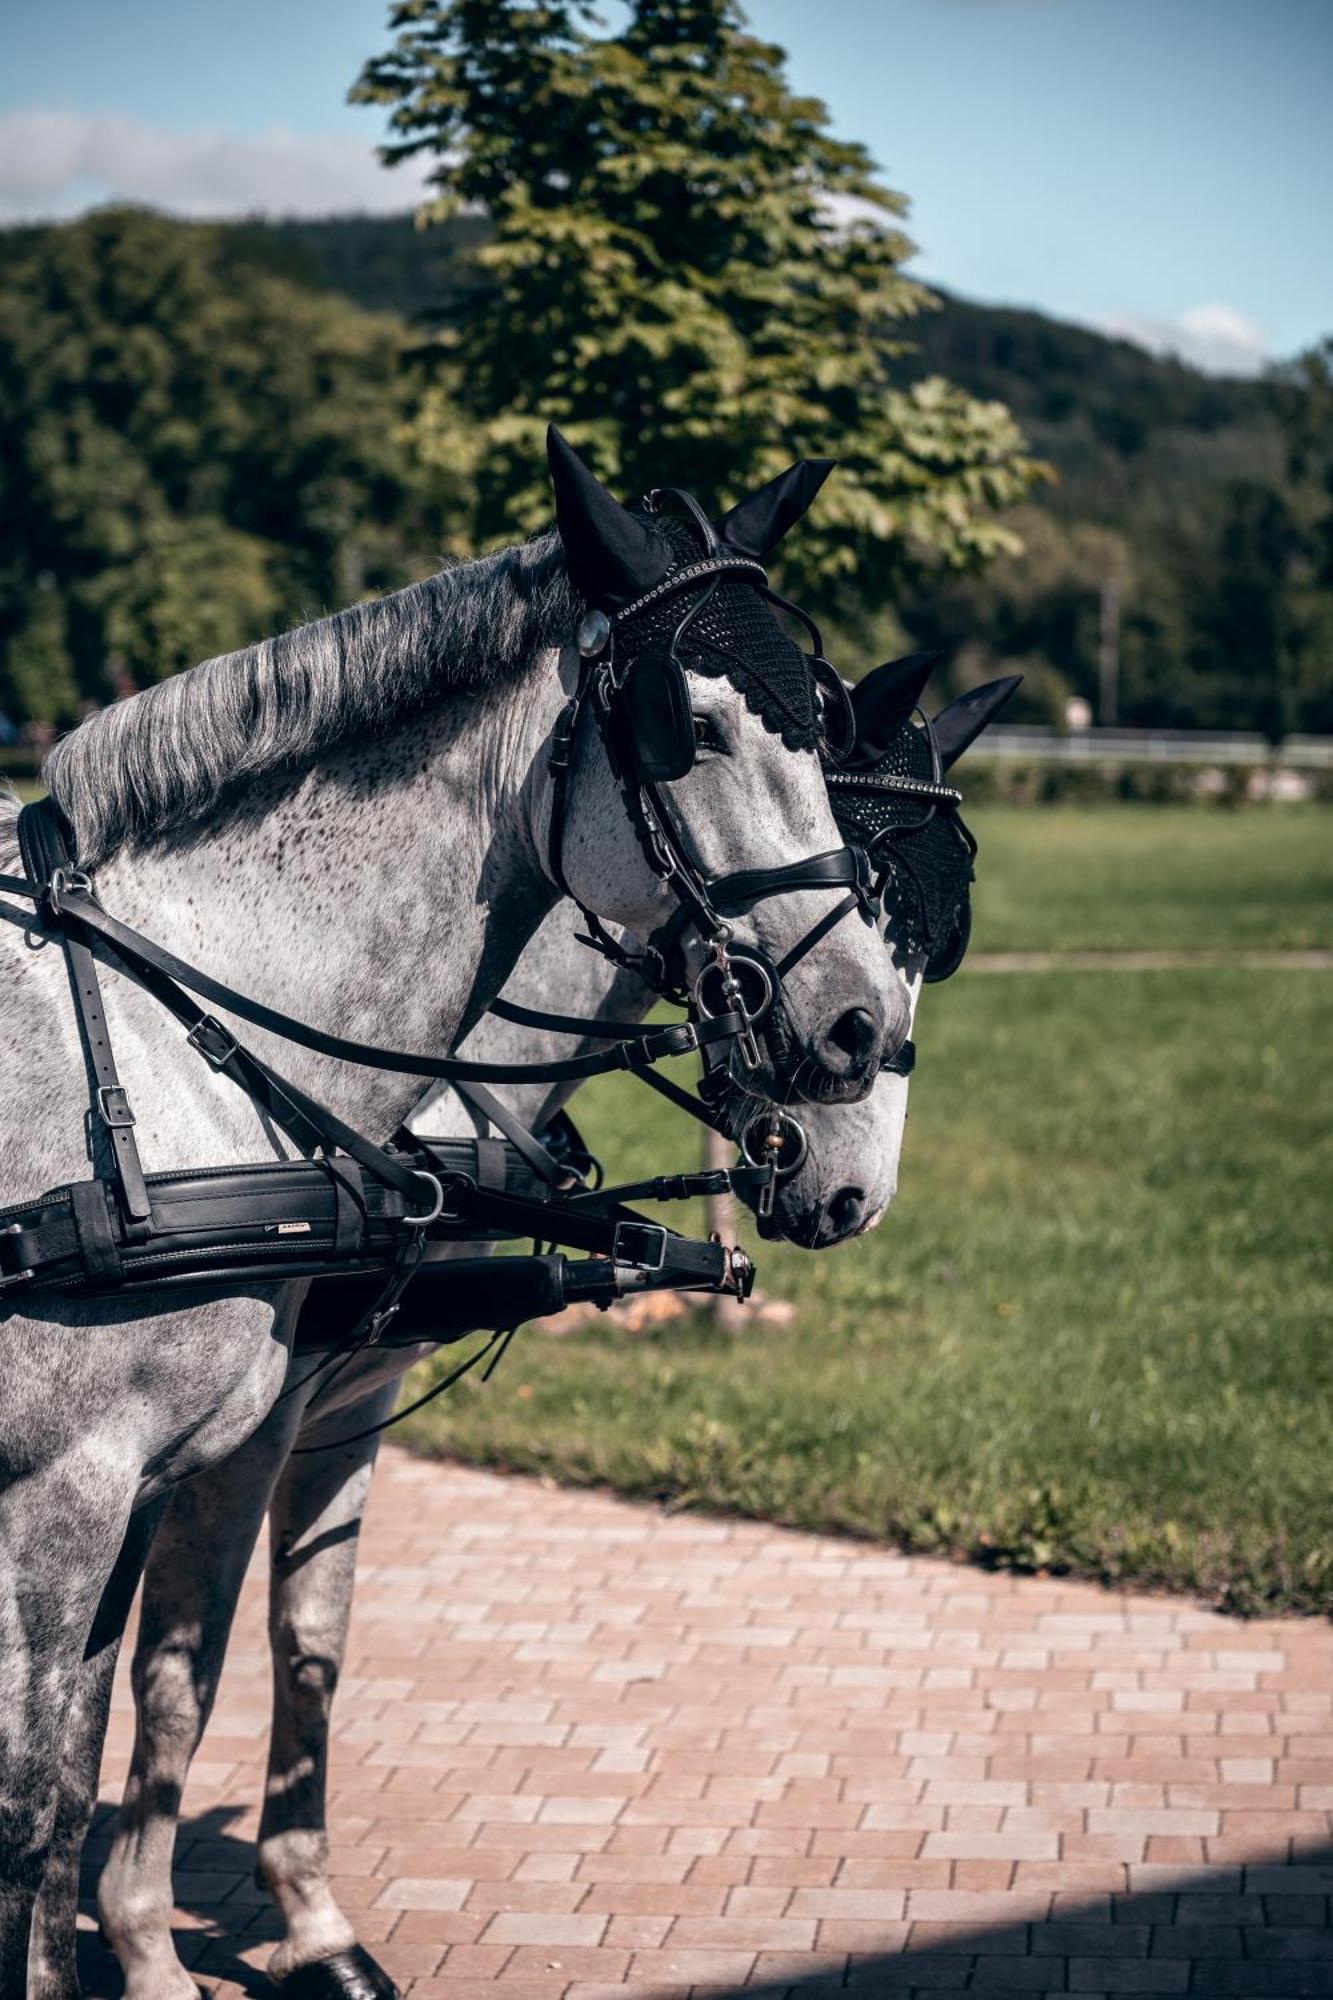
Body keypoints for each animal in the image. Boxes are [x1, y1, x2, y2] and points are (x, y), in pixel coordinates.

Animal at [2, 434, 904, 1984]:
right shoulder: (80, 1484)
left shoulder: (258, 1431)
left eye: (824, 721)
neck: (183, 1043)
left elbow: (264, 1657)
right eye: (689, 728)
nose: (853, 1030)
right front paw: (155, 1942)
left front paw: (291, 1927)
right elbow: (89, 1760)